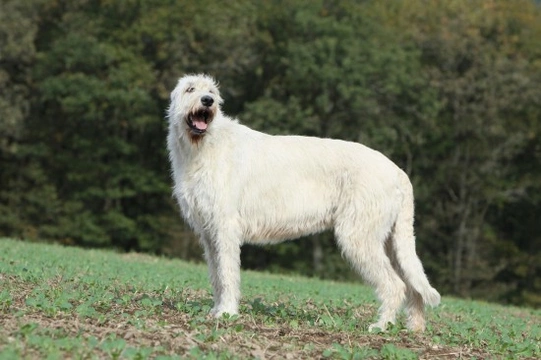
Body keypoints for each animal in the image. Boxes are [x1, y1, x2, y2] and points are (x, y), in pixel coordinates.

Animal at [167, 73, 440, 332]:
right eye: (190, 89)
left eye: (212, 91)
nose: (207, 101)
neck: (206, 144)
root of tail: (398, 172)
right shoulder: (209, 231)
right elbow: (215, 274)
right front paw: (216, 310)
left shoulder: (225, 228)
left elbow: (227, 273)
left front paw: (227, 313)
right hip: (392, 240)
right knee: (412, 284)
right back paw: (414, 328)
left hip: (360, 235)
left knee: (395, 284)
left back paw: (382, 325)